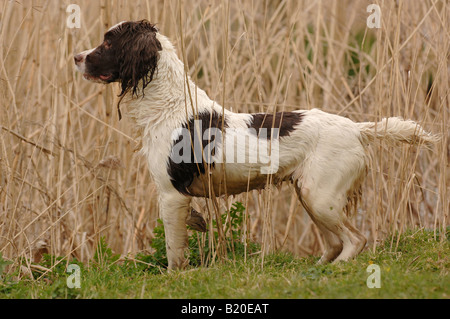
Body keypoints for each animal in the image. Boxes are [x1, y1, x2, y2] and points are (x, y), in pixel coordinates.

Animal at [74, 20, 440, 270]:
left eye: (107, 44)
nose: (76, 56)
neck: (168, 104)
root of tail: (357, 129)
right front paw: (199, 223)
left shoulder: (170, 193)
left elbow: (174, 251)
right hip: (310, 195)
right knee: (336, 242)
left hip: (320, 196)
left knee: (356, 239)